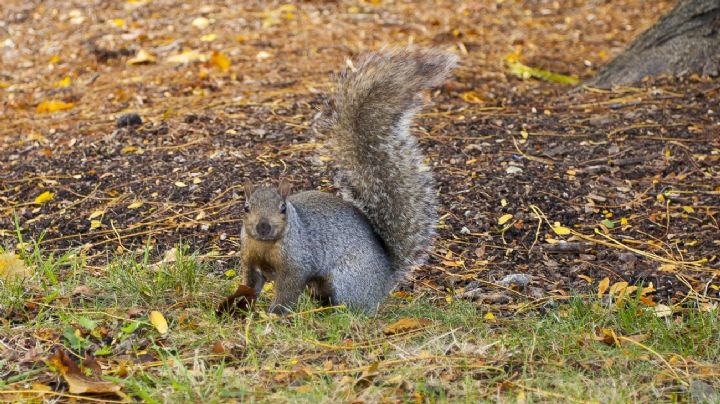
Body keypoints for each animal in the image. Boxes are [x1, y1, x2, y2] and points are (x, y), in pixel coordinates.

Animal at [240, 47, 458, 314]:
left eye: (283, 208)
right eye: (246, 207)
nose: (263, 227)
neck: (265, 245)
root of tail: (385, 278)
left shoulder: (298, 262)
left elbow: (288, 290)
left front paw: (274, 314)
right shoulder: (250, 259)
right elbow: (251, 283)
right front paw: (242, 305)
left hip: (346, 281)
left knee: (353, 307)